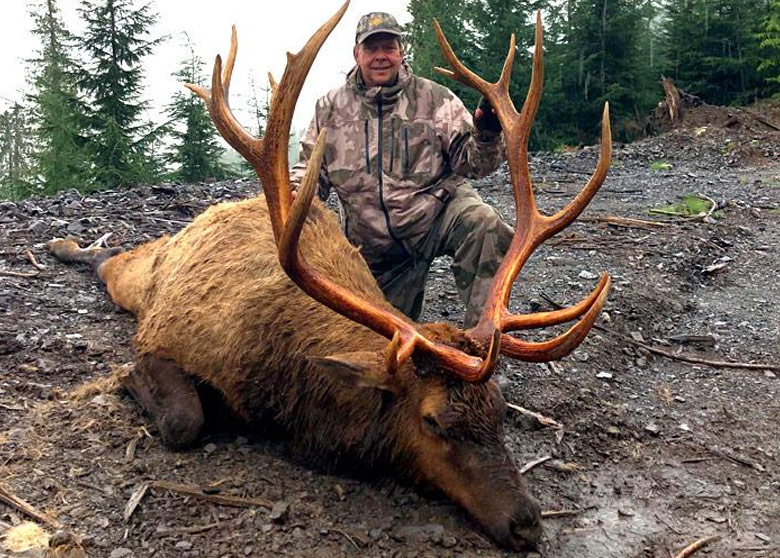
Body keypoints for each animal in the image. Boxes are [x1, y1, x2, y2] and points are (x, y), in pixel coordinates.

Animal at [48, 2, 612, 551]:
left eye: (498, 410)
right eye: (433, 420)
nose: (527, 523)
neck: (286, 393)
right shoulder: (166, 340)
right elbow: (183, 419)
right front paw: (126, 379)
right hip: (145, 276)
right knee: (114, 262)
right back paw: (63, 244)